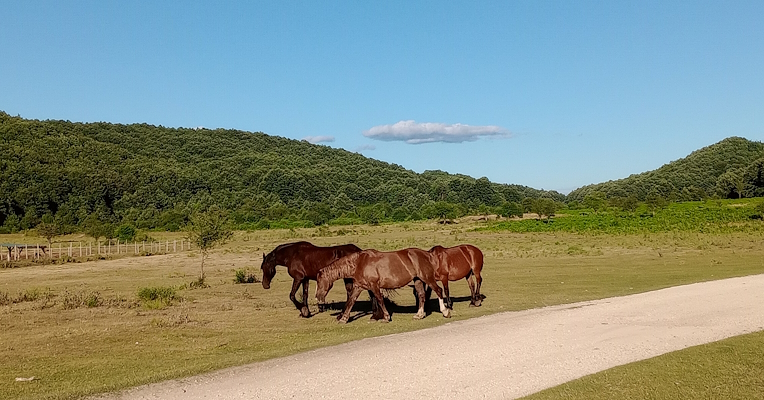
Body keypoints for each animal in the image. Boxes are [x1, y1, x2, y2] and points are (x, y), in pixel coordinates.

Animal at [316, 248, 452, 323]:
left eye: (319, 281)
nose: (318, 297)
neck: (360, 262)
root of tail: (427, 254)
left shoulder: (374, 286)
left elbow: (380, 300)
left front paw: (386, 317)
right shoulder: (358, 287)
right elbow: (351, 301)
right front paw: (344, 319)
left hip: (427, 278)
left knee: (439, 290)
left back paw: (445, 312)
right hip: (418, 280)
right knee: (422, 295)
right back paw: (419, 315)